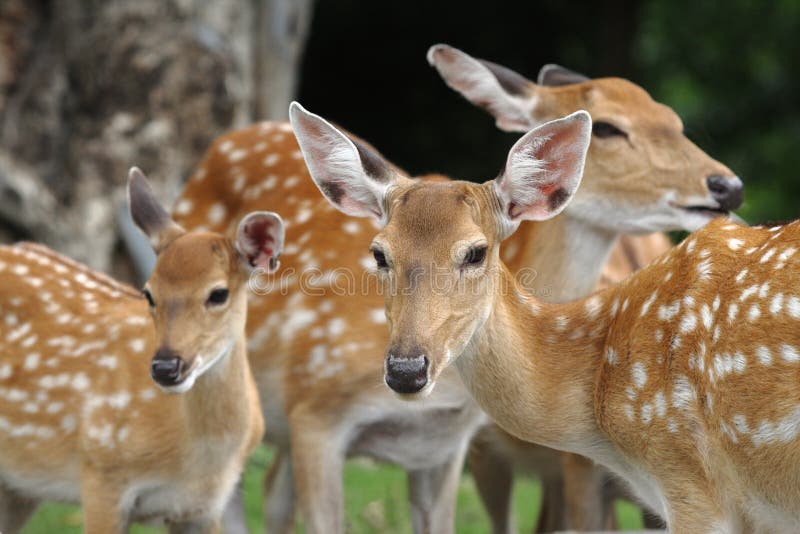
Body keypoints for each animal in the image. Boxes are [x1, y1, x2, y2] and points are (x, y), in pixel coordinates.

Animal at [0, 169, 282, 534]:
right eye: (148, 292)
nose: (165, 367)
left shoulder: (204, 506)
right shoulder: (101, 473)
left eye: (218, 293)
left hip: (17, 486)